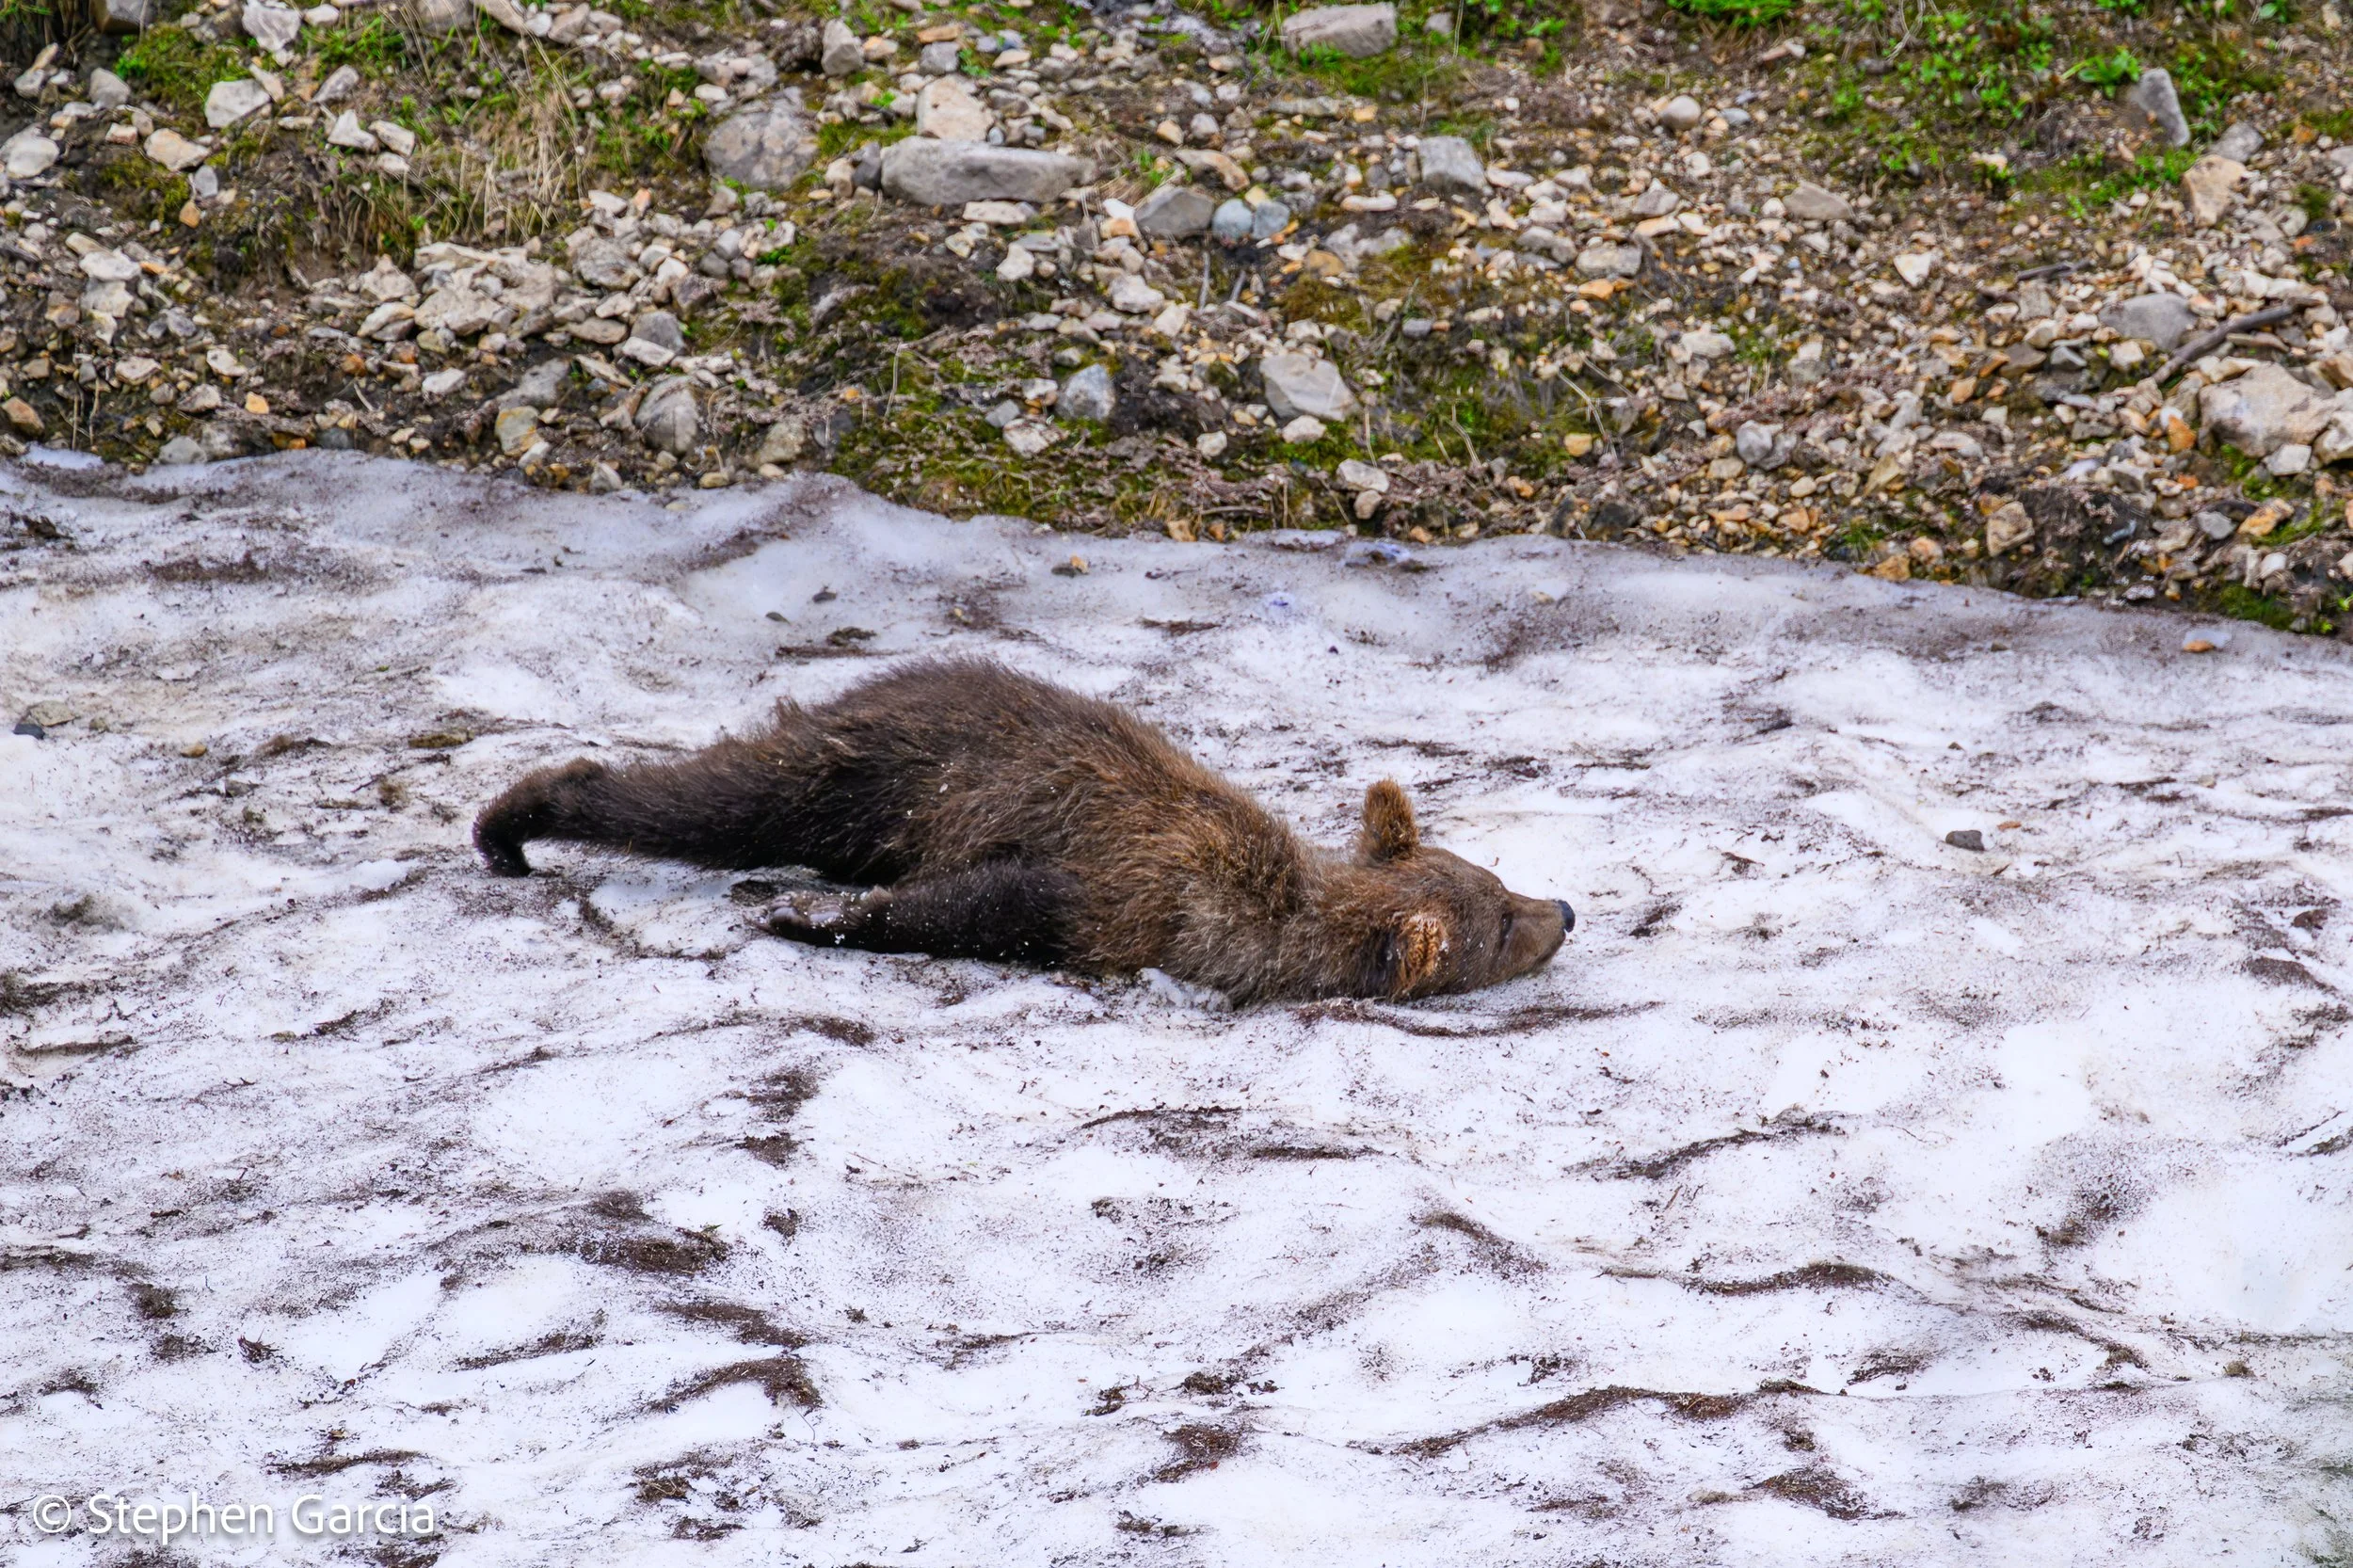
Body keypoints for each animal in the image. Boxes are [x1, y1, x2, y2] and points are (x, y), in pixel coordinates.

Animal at [473, 658, 1571, 1005]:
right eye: (1499, 923)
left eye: (1496, 879)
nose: (1564, 906)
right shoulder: (1116, 885)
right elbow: (984, 902)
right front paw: (809, 915)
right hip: (880, 769)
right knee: (713, 799)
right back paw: (518, 818)